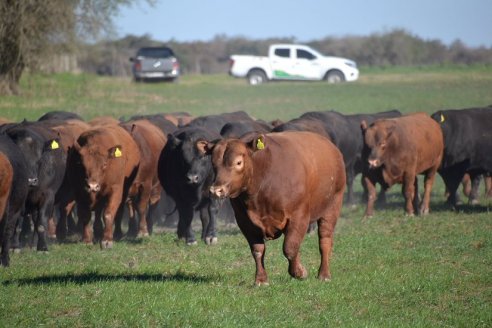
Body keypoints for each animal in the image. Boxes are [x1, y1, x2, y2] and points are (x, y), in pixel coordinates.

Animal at [206, 132, 344, 286]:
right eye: (213, 163)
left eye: (238, 162)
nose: (216, 190)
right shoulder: (244, 221)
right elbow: (257, 250)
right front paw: (261, 279)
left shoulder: (299, 216)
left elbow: (290, 247)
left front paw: (299, 272)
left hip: (332, 206)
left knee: (325, 240)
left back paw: (324, 274)